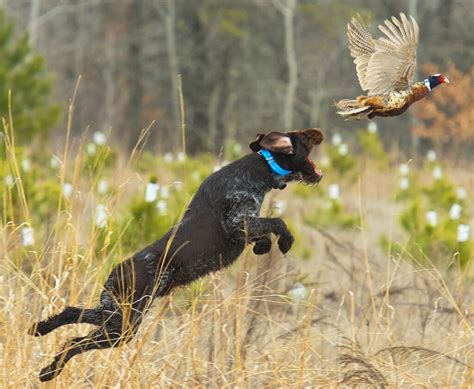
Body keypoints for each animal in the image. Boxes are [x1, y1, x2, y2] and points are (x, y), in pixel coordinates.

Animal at [29, 126, 324, 378]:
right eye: (302, 136)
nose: (317, 131)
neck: (262, 167)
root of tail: (116, 271)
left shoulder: (244, 226)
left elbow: (264, 233)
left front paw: (264, 246)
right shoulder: (237, 221)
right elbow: (277, 222)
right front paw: (285, 241)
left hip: (115, 312)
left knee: (72, 313)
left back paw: (40, 329)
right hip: (123, 324)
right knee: (73, 342)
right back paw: (48, 371)